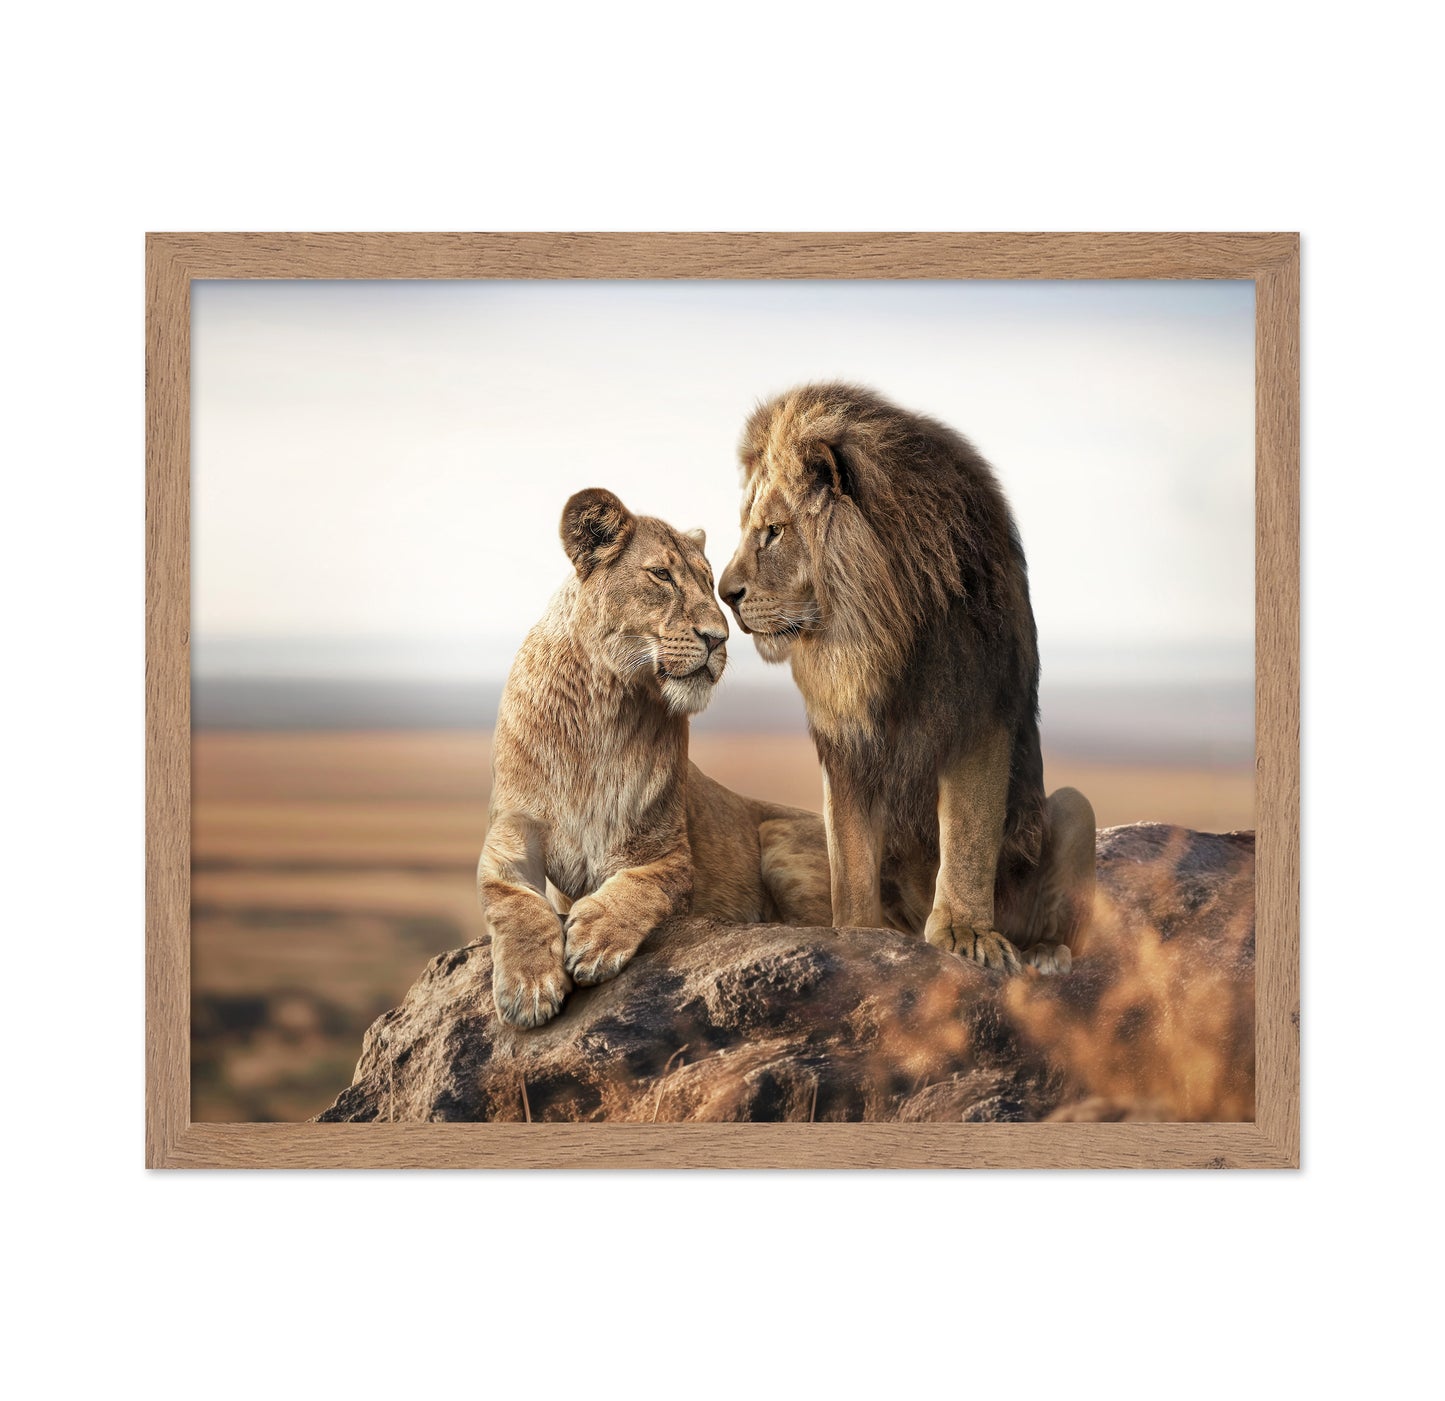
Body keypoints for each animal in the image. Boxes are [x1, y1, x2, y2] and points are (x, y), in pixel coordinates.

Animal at [478, 487, 833, 1028]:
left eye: (709, 583)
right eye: (662, 575)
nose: (719, 638)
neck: (600, 709)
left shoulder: (667, 851)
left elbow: (642, 886)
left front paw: (595, 938)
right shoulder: (509, 835)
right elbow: (513, 901)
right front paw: (528, 985)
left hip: (780, 840)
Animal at [717, 382, 1096, 975]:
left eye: (773, 532)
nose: (723, 593)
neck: (879, 631)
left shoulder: (978, 715)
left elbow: (967, 837)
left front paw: (966, 933)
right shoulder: (845, 745)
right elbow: (849, 858)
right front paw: (855, 934)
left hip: (1077, 806)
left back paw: (1043, 953)